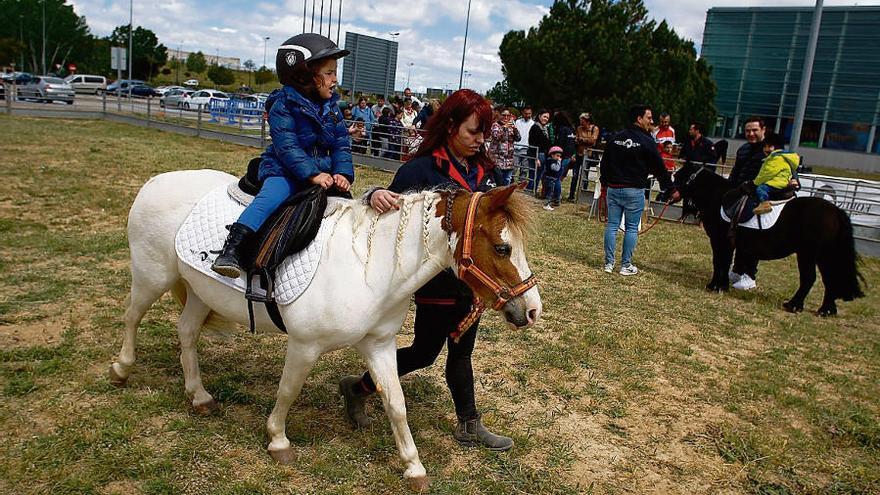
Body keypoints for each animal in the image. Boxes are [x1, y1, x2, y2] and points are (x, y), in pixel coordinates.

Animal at [111, 170, 544, 488]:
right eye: (503, 248)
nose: (532, 310)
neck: (369, 267)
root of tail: (156, 180)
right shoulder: (304, 345)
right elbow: (288, 390)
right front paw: (278, 441)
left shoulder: (379, 345)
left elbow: (396, 403)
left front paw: (413, 466)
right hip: (151, 276)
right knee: (132, 317)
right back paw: (121, 370)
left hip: (201, 293)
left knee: (186, 332)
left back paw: (199, 396)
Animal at [672, 165, 864, 316]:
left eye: (678, 176)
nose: (668, 192)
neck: (718, 196)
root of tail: (836, 212)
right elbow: (720, 262)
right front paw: (718, 285)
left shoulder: (721, 241)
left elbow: (720, 262)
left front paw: (717, 286)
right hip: (824, 256)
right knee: (830, 279)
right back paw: (826, 310)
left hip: (808, 254)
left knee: (809, 278)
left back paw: (793, 305)